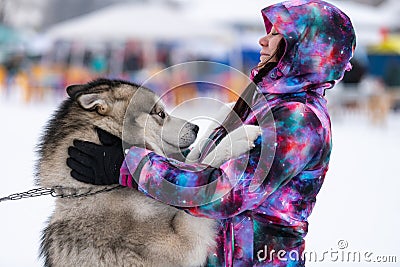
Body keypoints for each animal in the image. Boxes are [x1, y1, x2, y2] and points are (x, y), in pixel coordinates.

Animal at [37, 79, 260, 267]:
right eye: (160, 113)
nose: (195, 127)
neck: (101, 188)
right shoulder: (184, 241)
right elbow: (206, 165)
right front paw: (239, 138)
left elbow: (195, 159)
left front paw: (228, 110)